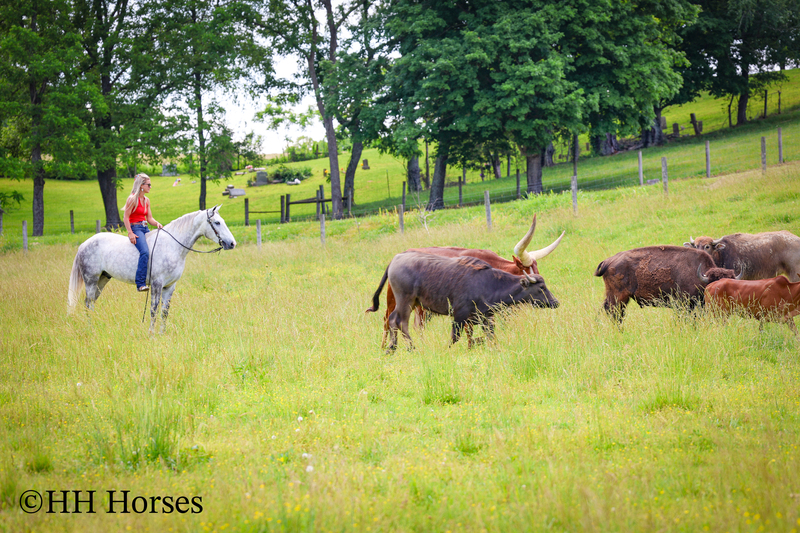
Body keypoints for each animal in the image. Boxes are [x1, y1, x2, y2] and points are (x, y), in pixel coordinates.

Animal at [68, 206, 237, 332]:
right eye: (217, 222)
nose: (232, 243)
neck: (172, 245)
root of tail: (84, 244)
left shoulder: (170, 286)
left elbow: (164, 311)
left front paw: (162, 334)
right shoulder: (157, 284)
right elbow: (154, 309)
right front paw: (152, 334)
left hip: (102, 279)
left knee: (91, 303)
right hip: (91, 280)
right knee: (87, 303)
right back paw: (90, 329)